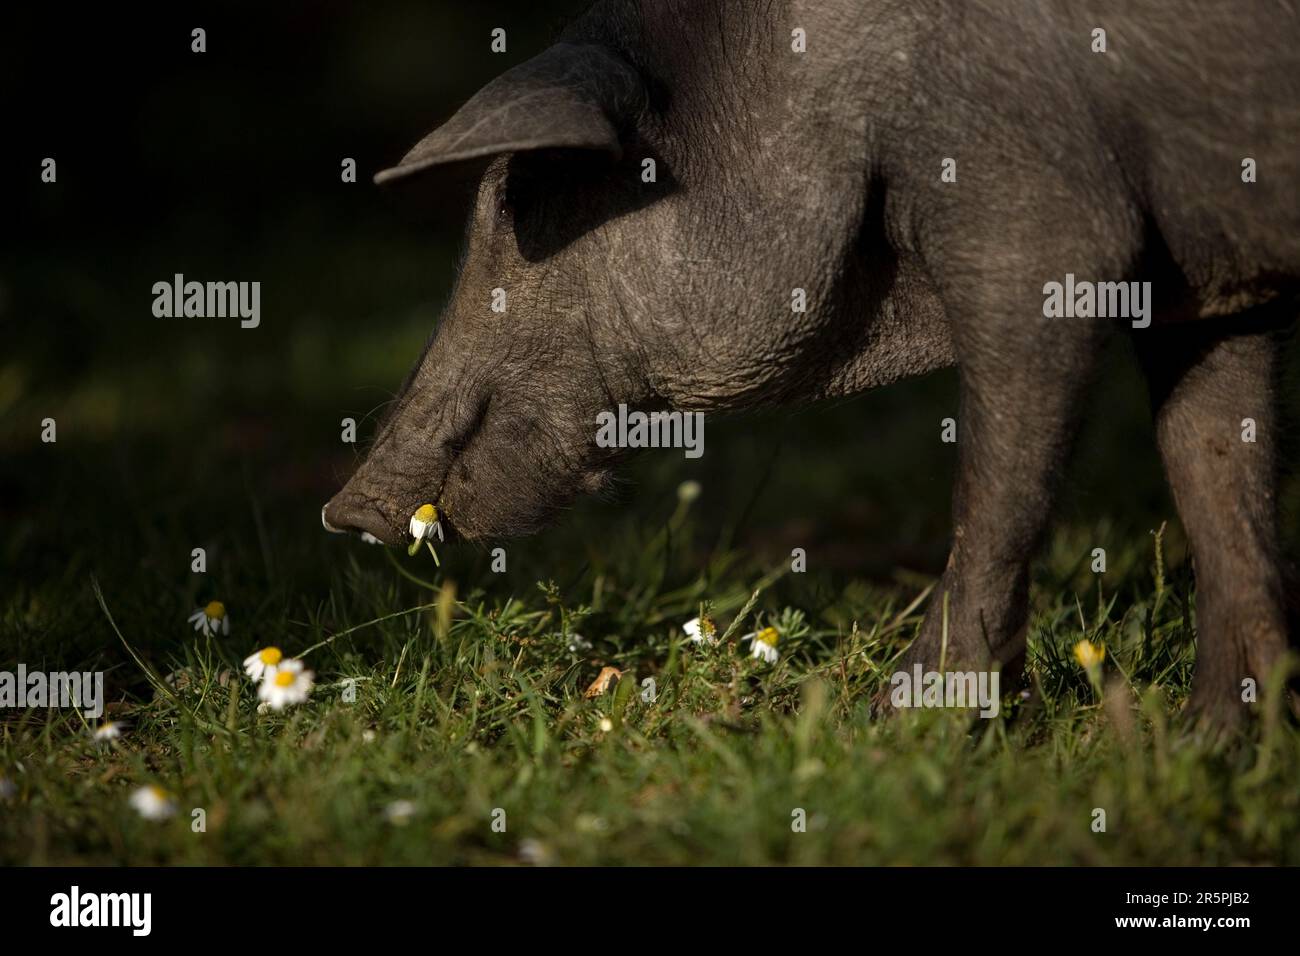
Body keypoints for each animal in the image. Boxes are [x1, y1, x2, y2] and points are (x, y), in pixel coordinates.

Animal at [317, 0, 1300, 728]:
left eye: (522, 198)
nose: (345, 509)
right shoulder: (1200, 291)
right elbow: (1218, 474)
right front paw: (1214, 744)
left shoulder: (1045, 235)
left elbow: (998, 492)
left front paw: (892, 731)